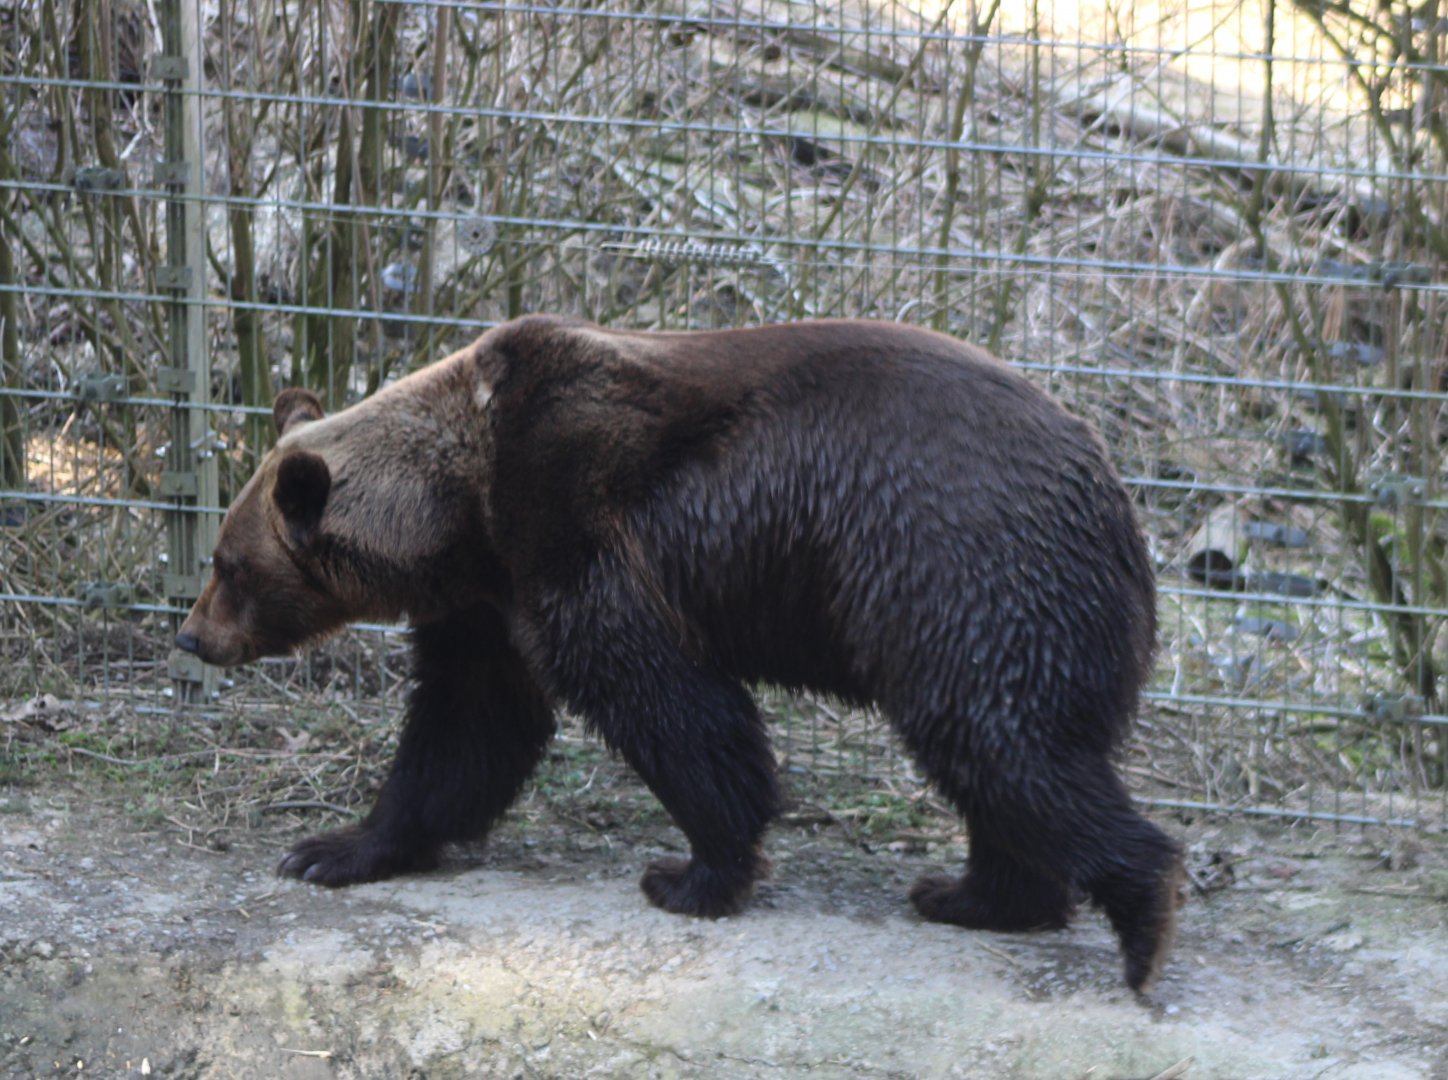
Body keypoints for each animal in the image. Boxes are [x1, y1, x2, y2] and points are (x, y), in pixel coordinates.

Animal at [174, 315, 1182, 991]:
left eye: (227, 564)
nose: (192, 634)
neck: (459, 510)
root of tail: (1112, 487)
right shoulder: (485, 603)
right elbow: (468, 727)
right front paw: (335, 847)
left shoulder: (572, 522)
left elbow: (664, 699)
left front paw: (692, 871)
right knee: (996, 757)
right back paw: (976, 894)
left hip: (955, 564)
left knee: (1003, 738)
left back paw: (1138, 919)